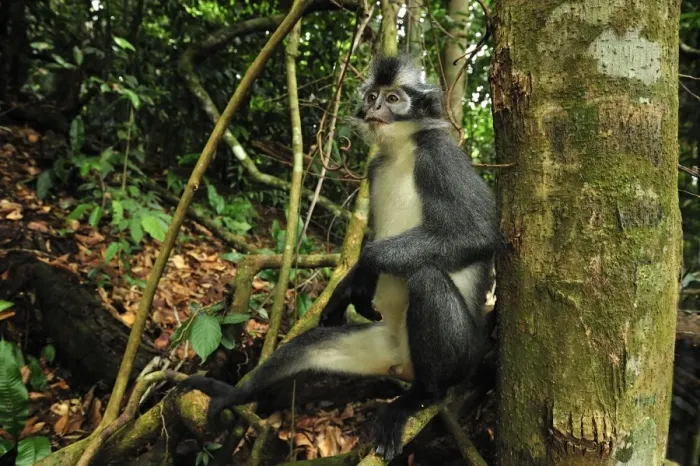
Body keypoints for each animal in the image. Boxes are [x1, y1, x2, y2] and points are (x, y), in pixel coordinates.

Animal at [181, 54, 500, 461]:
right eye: (373, 96)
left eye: (394, 99)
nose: (375, 109)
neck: (401, 151)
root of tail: (404, 364)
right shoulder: (375, 169)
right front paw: (346, 288)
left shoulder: (440, 158)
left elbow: (480, 235)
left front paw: (366, 266)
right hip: (382, 345)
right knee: (308, 345)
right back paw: (236, 393)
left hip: (463, 356)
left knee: (426, 277)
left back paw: (421, 396)